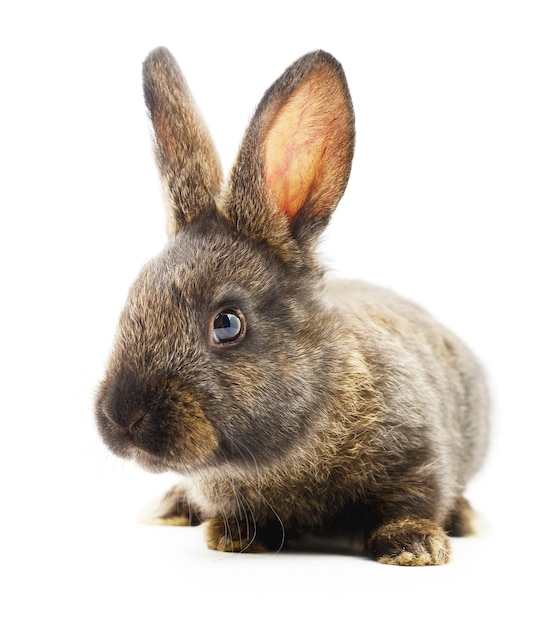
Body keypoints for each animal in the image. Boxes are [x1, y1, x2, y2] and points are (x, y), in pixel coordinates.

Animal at [95, 47, 490, 564]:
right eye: (132, 298)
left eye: (227, 324)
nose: (123, 417)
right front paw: (235, 536)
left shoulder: (420, 456)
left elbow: (414, 499)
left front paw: (414, 547)